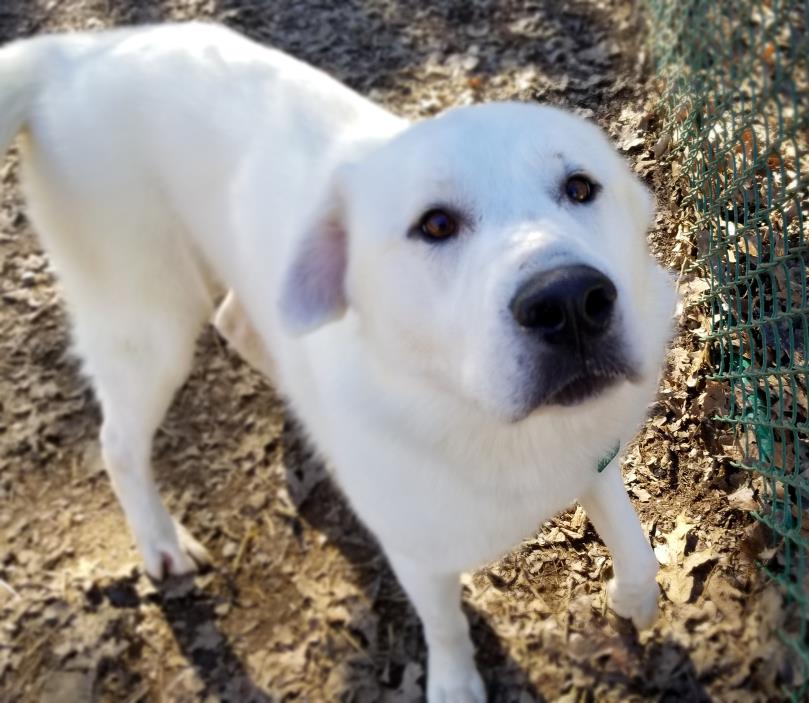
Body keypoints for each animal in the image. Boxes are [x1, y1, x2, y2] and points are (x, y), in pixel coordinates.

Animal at [1, 23, 676, 703]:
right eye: (435, 224)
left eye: (581, 188)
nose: (570, 302)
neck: (472, 417)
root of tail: (72, 54)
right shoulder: (416, 553)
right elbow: (446, 628)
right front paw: (456, 683)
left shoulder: (593, 455)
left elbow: (638, 549)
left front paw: (633, 600)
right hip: (151, 325)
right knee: (117, 442)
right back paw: (161, 540)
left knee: (237, 325)